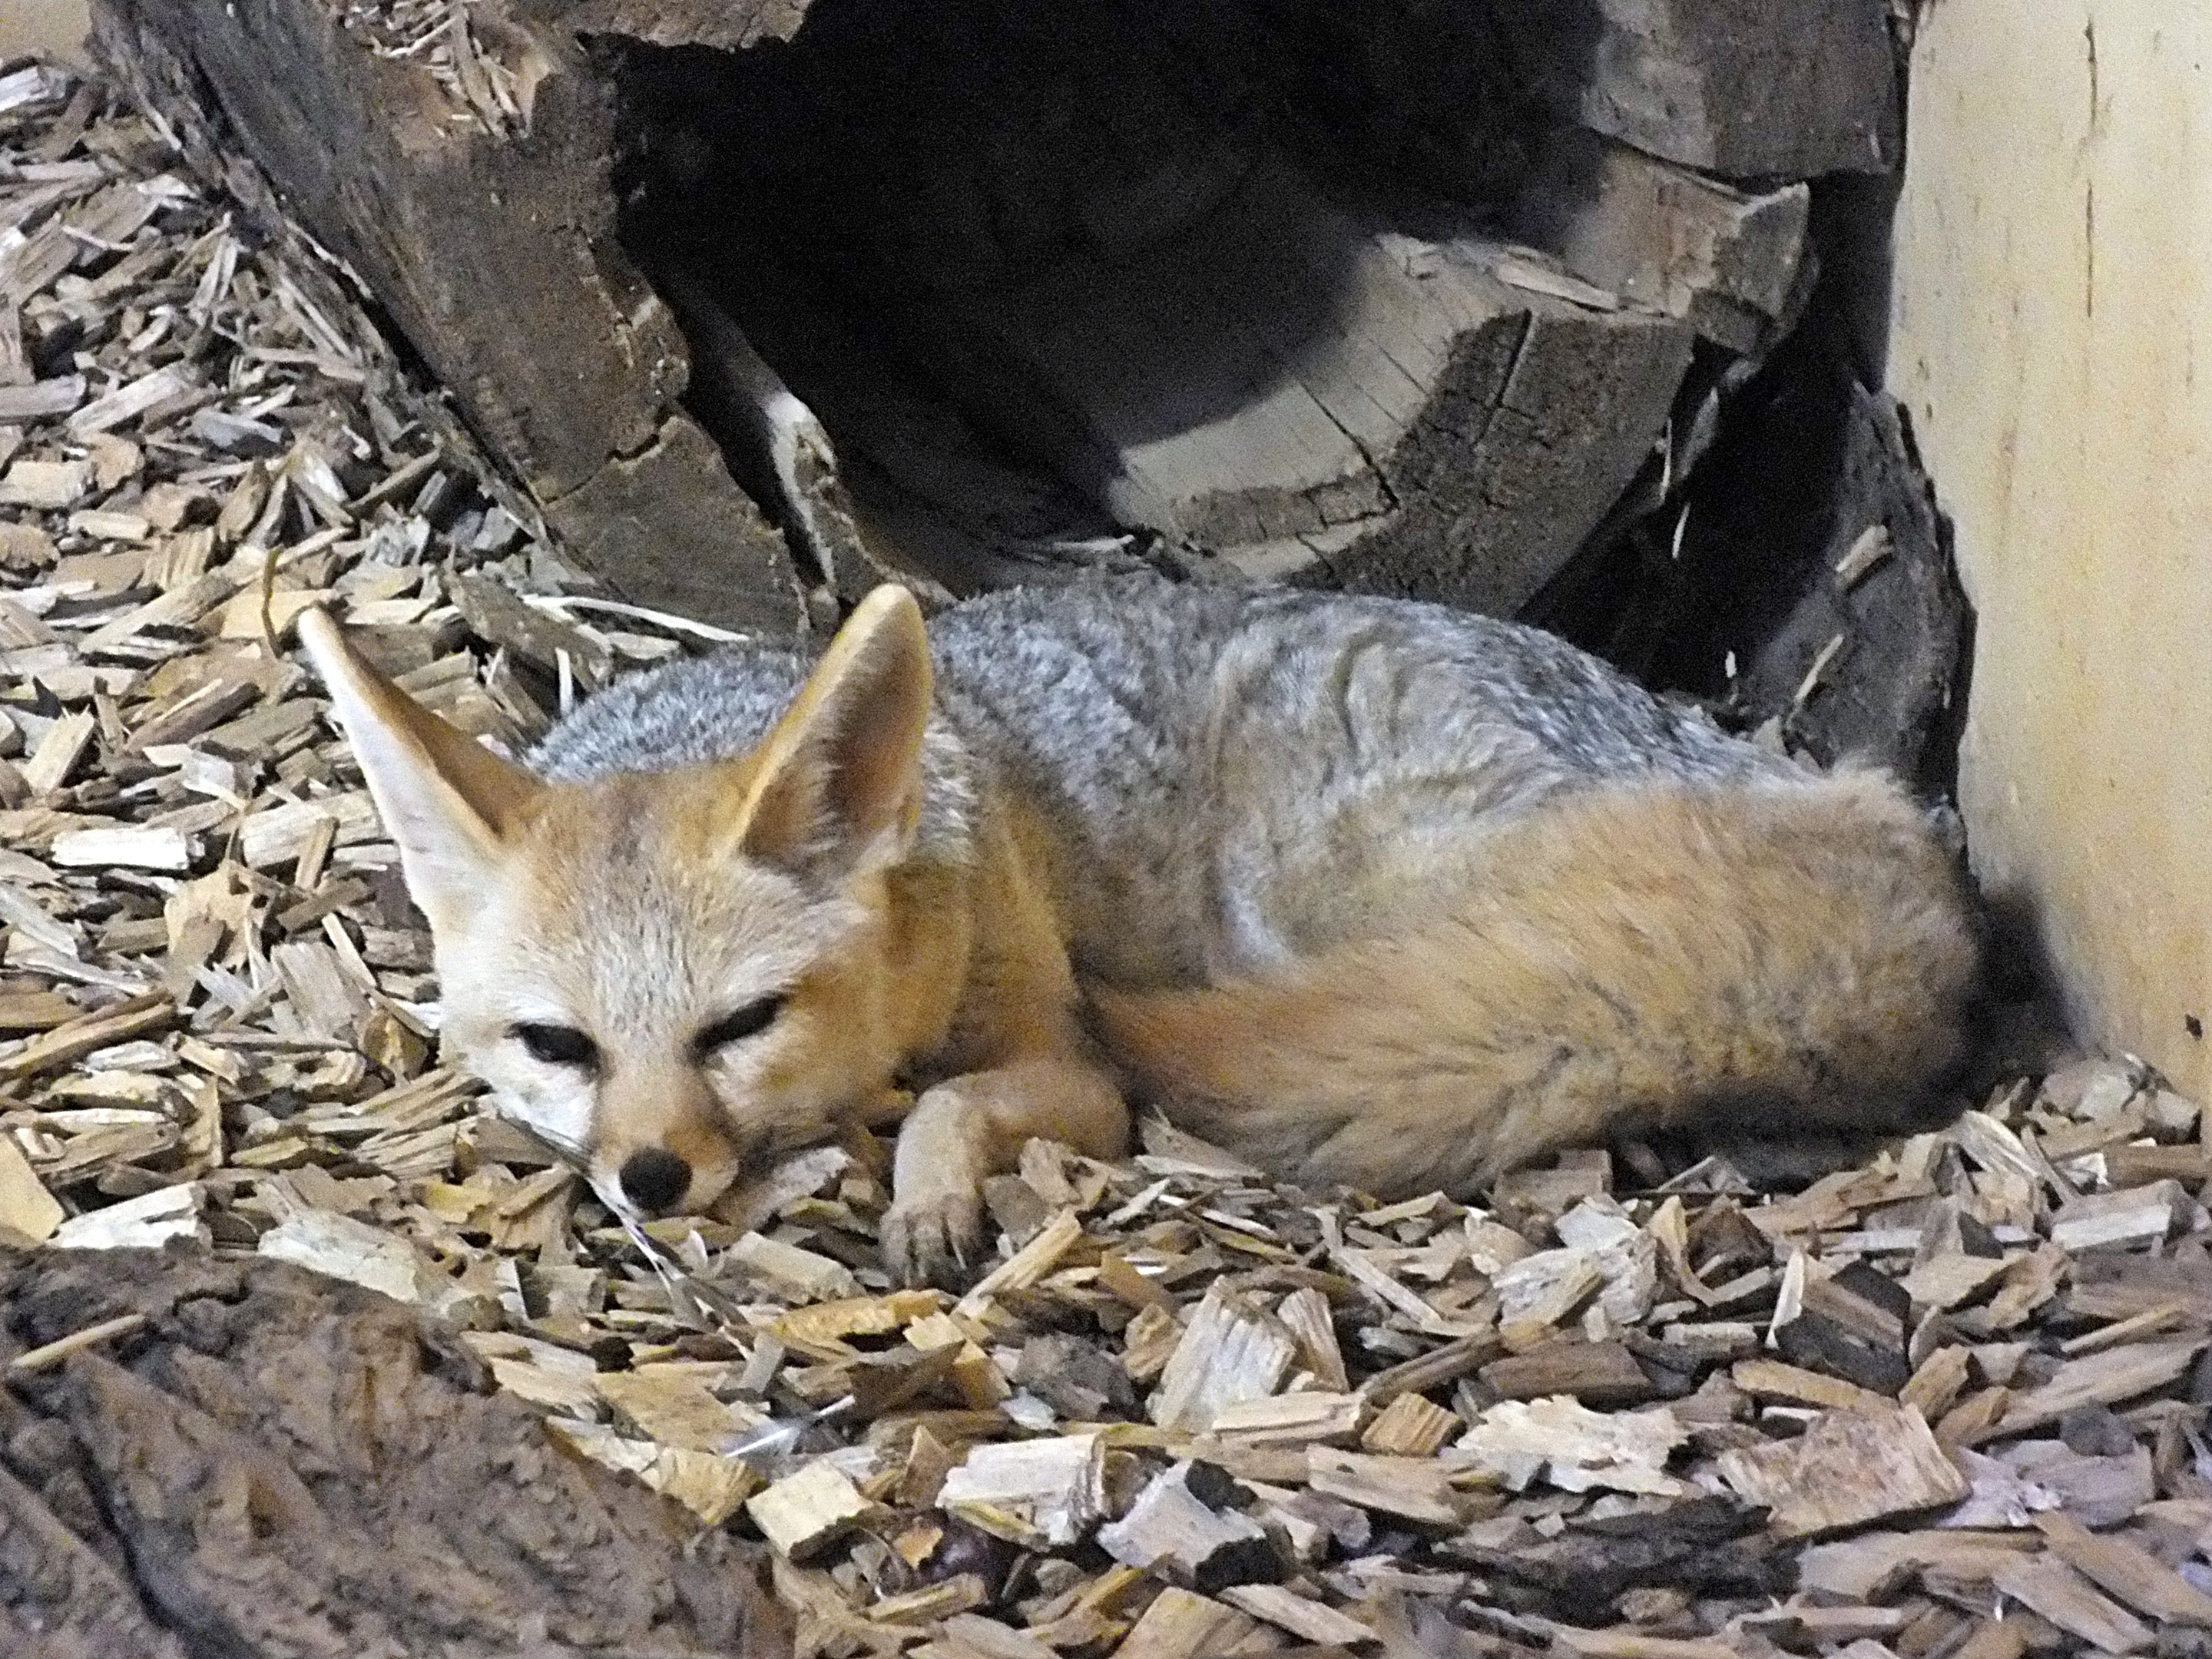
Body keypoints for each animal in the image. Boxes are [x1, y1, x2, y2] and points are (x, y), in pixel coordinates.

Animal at [298, 574, 1981, 1286]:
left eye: (740, 1027)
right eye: (557, 1045)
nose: (651, 1179)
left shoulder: (1074, 1069)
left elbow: (968, 1104)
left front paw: (928, 1191)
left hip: (1305, 890)